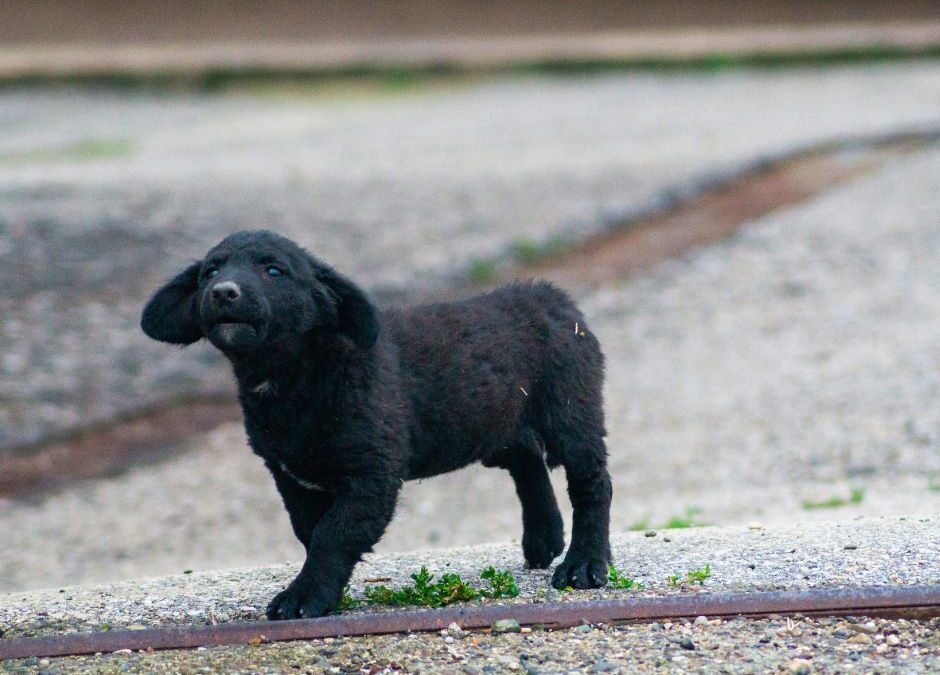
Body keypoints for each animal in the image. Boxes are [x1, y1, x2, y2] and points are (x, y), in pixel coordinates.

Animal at [140, 230, 608, 620]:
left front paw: (304, 597)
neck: (294, 378)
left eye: (274, 271)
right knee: (527, 462)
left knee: (591, 484)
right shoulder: (291, 478)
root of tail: (552, 296)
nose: (223, 292)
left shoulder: (372, 474)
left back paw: (584, 565)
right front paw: (323, 591)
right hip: (498, 424)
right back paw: (544, 538)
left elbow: (333, 534)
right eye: (210, 271)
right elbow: (311, 532)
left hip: (571, 412)